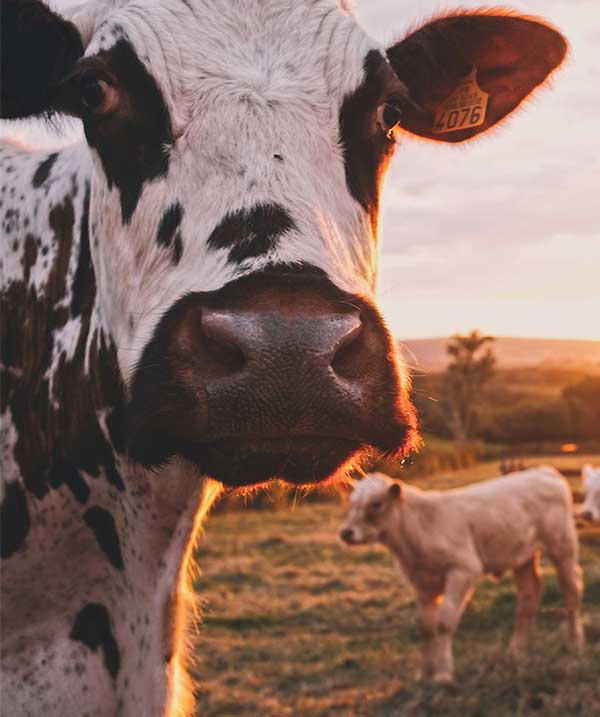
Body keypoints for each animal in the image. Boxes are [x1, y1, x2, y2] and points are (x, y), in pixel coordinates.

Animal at [340, 469, 584, 683]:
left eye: (376, 504)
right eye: (351, 503)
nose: (346, 532)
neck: (418, 530)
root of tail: (544, 471)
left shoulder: (464, 569)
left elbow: (444, 622)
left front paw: (443, 674)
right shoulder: (422, 582)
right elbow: (425, 626)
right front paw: (424, 673)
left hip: (563, 546)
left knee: (571, 589)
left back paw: (575, 642)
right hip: (522, 556)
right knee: (528, 596)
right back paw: (516, 650)